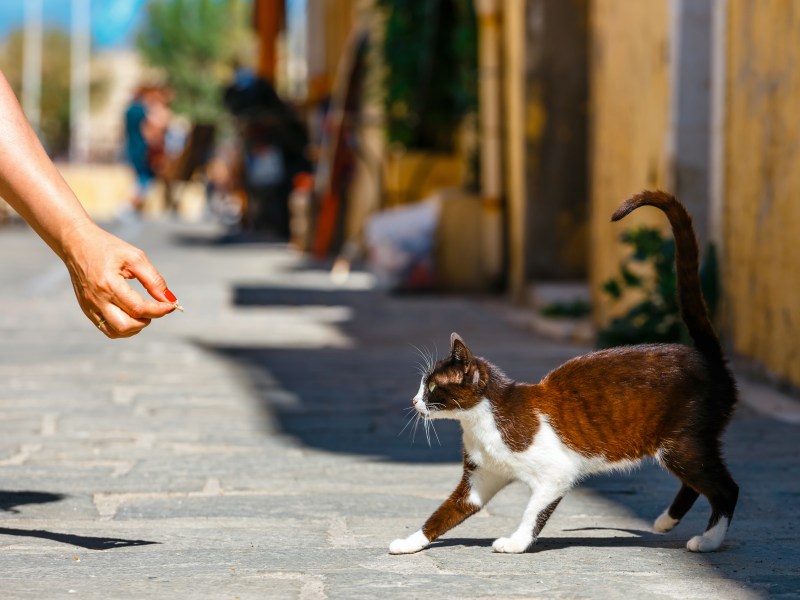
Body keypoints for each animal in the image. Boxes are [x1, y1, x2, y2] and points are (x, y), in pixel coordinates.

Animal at [388, 190, 736, 556]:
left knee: (726, 488)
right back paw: (666, 521)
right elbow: (443, 513)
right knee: (699, 483)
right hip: (686, 446)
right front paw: (410, 542)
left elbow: (532, 511)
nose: (413, 401)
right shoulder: (480, 478)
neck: (480, 422)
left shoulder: (556, 473)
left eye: (431, 387)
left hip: (681, 442)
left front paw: (515, 542)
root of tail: (706, 356)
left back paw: (709, 540)